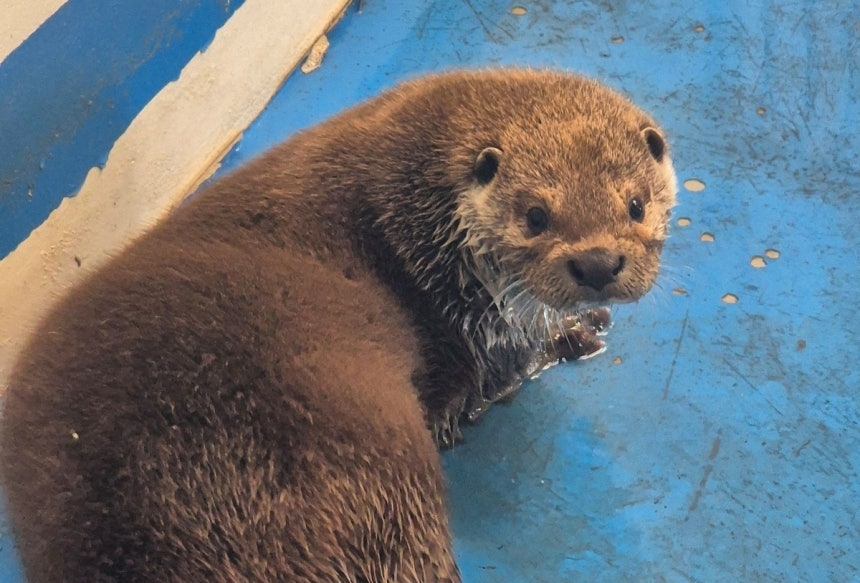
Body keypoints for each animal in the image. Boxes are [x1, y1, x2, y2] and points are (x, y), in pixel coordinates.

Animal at [0, 69, 677, 582]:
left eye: (635, 204)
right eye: (535, 215)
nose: (597, 264)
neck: (423, 220)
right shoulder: (471, 323)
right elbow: (501, 373)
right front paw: (575, 331)